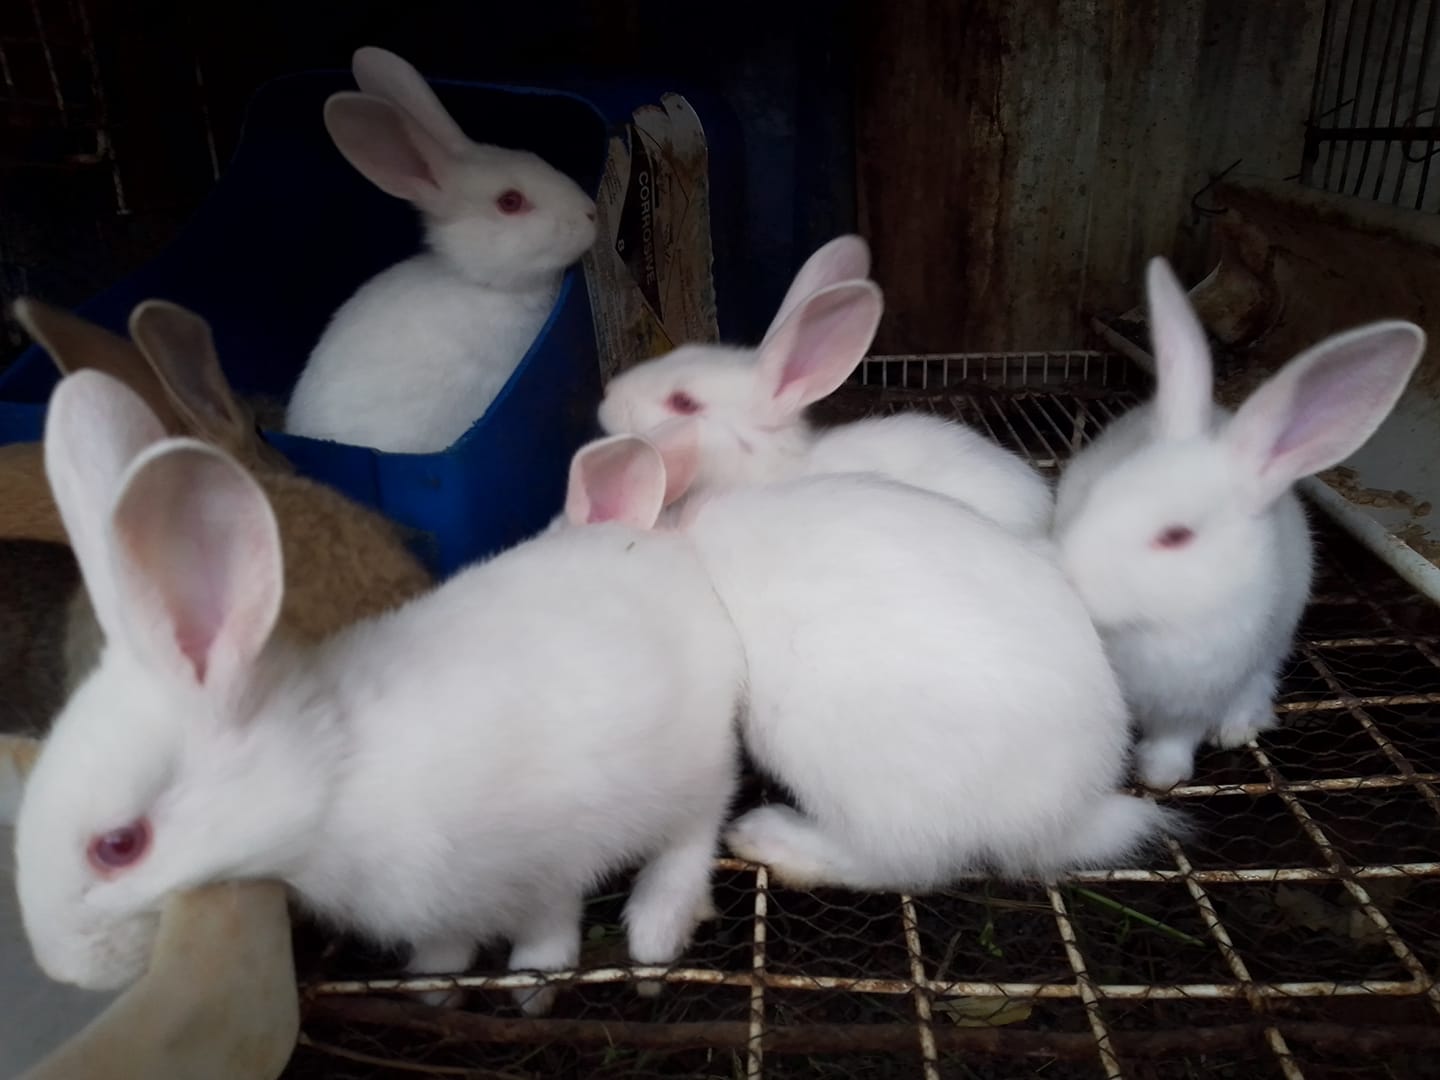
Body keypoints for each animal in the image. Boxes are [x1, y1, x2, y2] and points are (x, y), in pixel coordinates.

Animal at [16, 369, 745, 1020]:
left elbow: (546, 928)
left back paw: (654, 934)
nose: (61, 967)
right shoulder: (442, 904)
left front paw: (531, 989)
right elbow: (446, 942)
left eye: (119, 845)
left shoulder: (550, 862)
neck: (334, 778)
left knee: (695, 831)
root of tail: (653, 542)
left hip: (694, 767)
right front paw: (431, 986)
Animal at [1053, 257, 1424, 791]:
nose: (1067, 573)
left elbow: (1176, 738)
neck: (1155, 624)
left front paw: (1160, 776)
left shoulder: (1198, 696)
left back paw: (1238, 726)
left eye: (1176, 536)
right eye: (1094, 494)